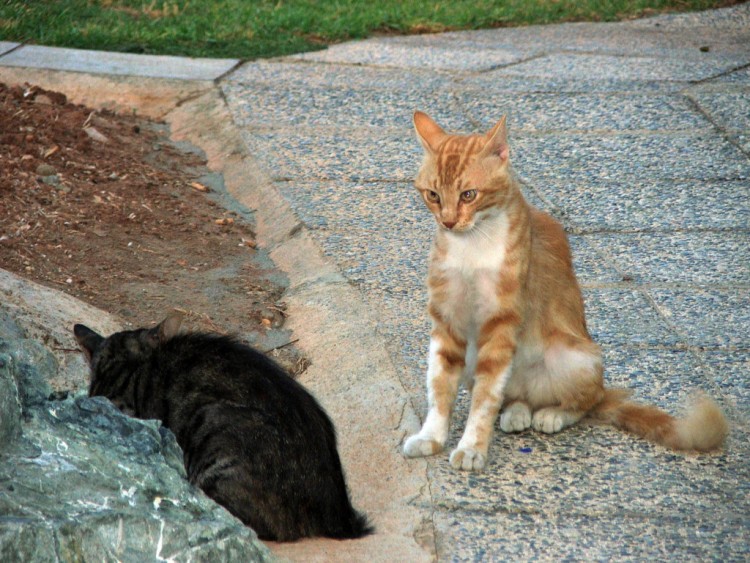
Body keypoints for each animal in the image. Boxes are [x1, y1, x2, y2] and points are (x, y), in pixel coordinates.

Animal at [406, 111, 728, 472]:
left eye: (468, 195)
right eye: (433, 195)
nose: (447, 222)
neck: (472, 246)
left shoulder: (501, 324)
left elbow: (485, 399)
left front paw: (472, 446)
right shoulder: (447, 318)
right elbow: (440, 384)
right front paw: (431, 436)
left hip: (575, 357)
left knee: (586, 401)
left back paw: (553, 414)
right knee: (514, 395)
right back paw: (517, 410)